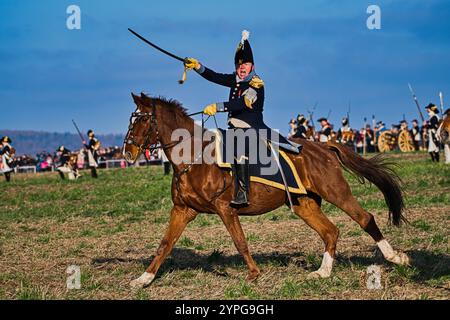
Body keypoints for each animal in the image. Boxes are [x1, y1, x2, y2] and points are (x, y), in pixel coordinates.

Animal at [122, 93, 408, 290]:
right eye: (131, 119)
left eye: (142, 119)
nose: (128, 151)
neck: (194, 157)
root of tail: (323, 147)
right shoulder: (183, 210)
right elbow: (164, 244)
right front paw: (143, 279)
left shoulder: (225, 209)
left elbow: (240, 241)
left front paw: (253, 274)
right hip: (304, 204)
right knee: (330, 231)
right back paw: (323, 272)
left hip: (335, 191)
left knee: (364, 218)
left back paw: (395, 257)